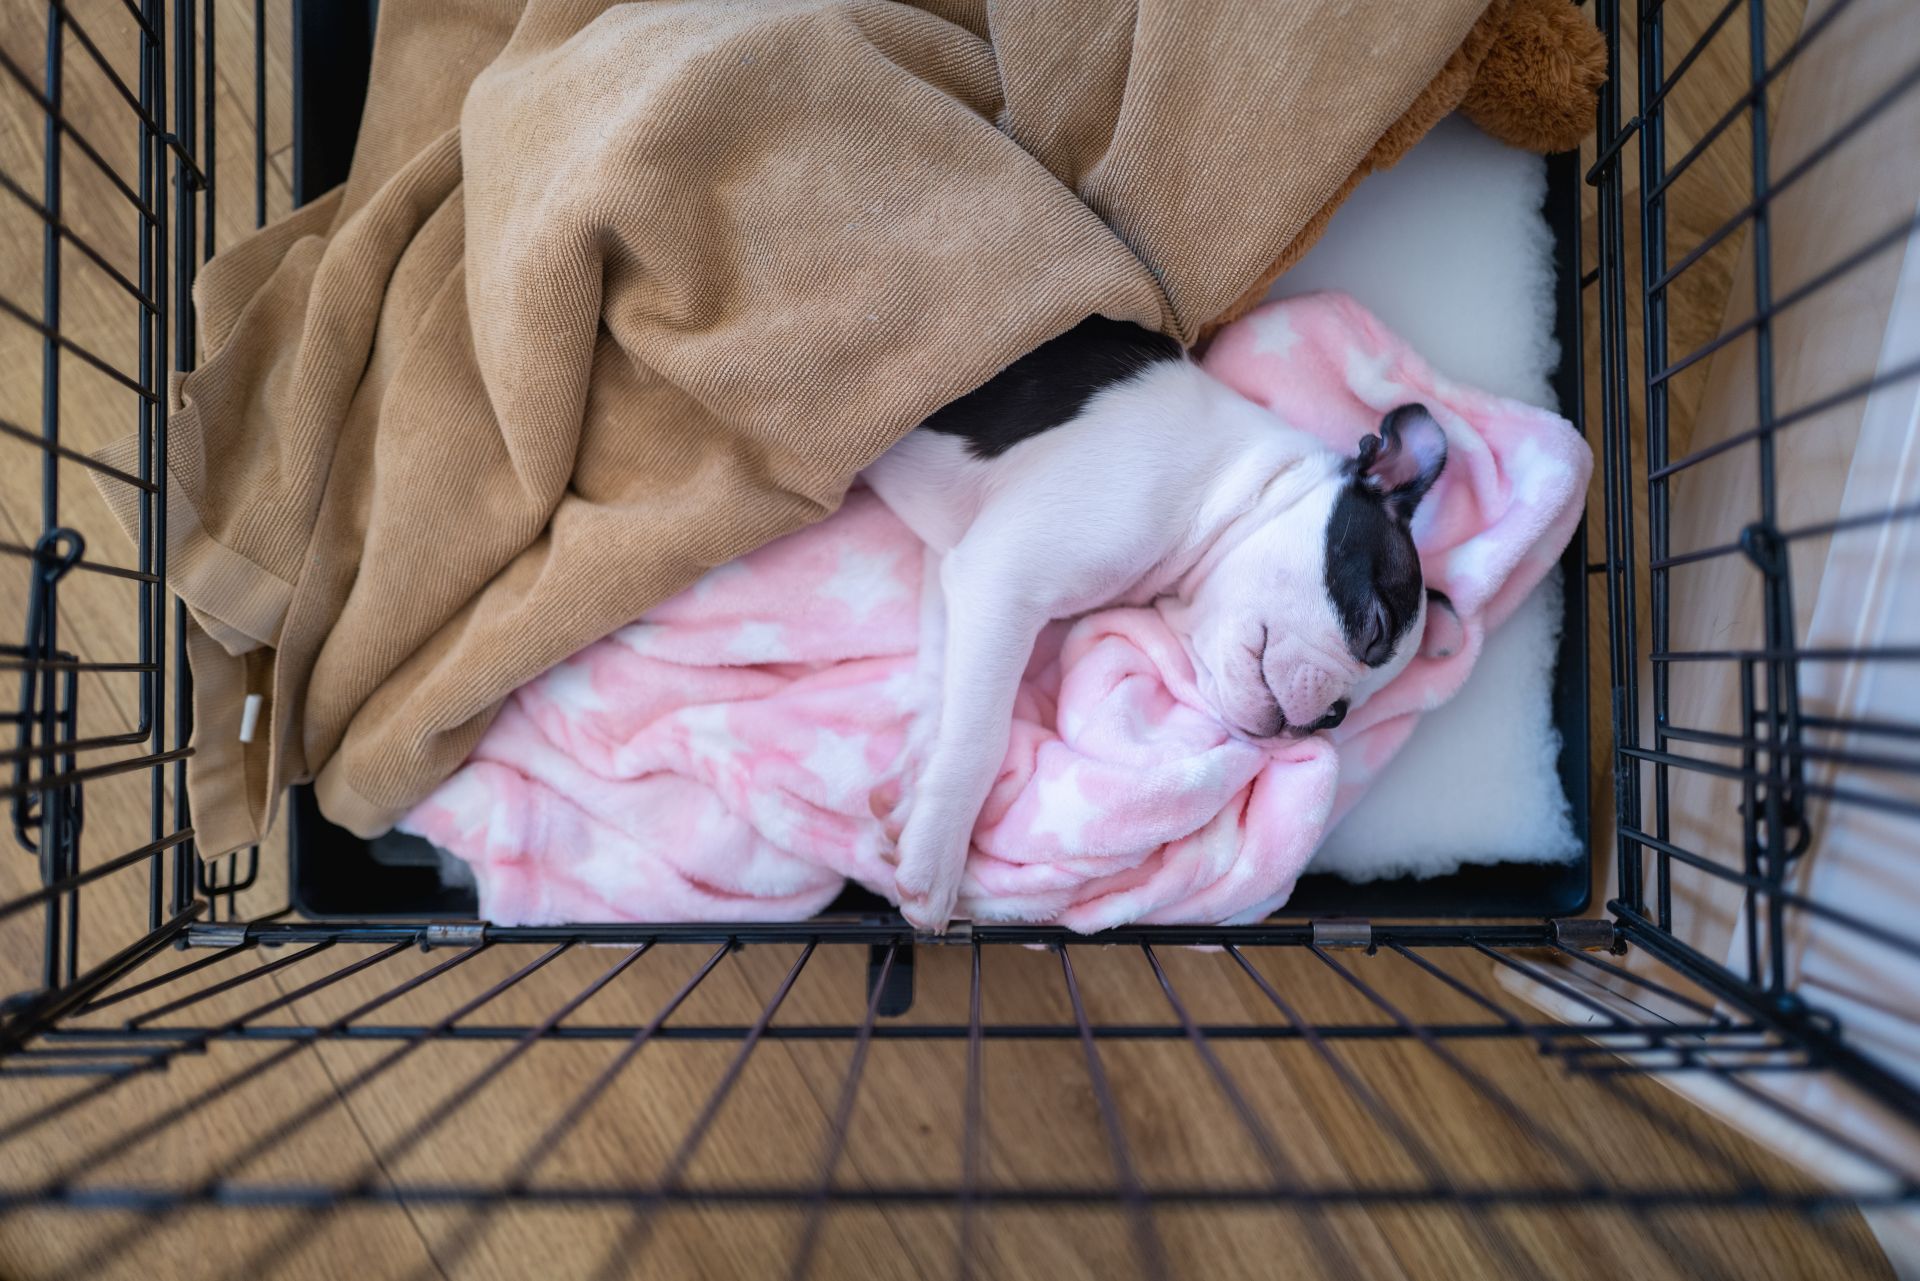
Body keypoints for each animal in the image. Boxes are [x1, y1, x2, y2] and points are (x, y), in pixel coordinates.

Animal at [860, 313, 1451, 933]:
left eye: (1350, 713)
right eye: (1375, 628)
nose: (1331, 715)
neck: (1224, 484)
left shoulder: (955, 569)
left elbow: (942, 692)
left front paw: (913, 796)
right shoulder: (1003, 578)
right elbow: (981, 737)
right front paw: (937, 856)